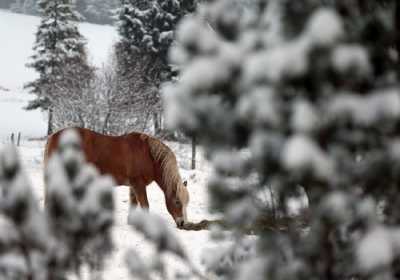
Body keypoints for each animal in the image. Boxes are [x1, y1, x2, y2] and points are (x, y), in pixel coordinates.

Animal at [46, 127, 190, 228]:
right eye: (177, 201)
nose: (182, 223)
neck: (147, 154)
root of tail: (54, 137)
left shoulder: (134, 185)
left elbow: (133, 204)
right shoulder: (138, 184)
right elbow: (145, 205)